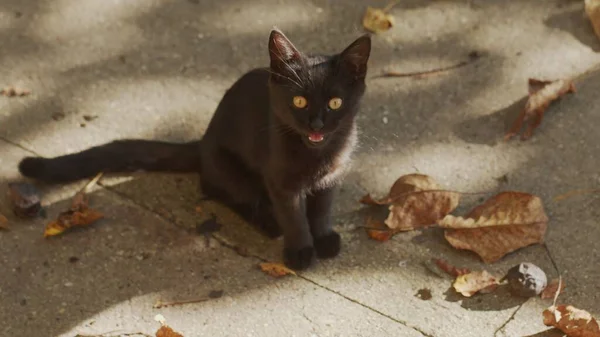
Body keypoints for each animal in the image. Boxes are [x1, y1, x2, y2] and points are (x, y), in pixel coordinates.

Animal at [18, 29, 370, 270]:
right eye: (299, 101)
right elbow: (294, 217)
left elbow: (322, 208)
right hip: (230, 171)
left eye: (335, 103)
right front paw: (299, 250)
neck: (316, 155)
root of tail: (203, 142)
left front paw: (324, 238)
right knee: (224, 192)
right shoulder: (279, 182)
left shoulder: (332, 175)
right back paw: (268, 223)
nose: (316, 124)